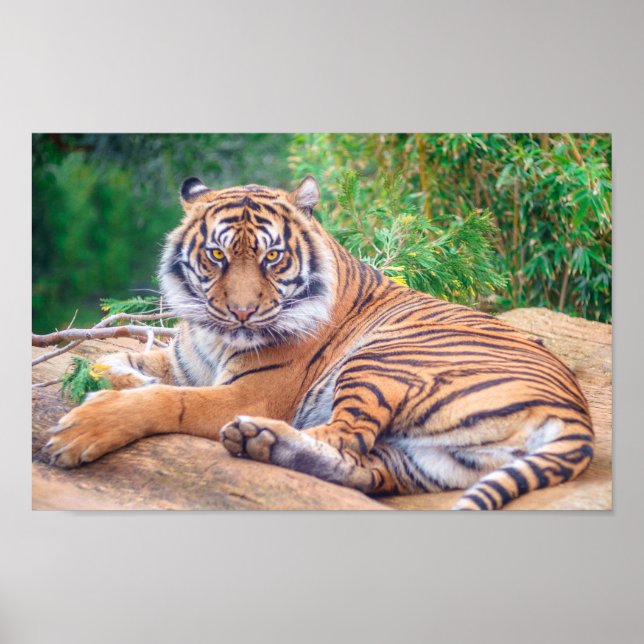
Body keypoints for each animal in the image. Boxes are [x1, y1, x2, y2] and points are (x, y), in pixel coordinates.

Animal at [43, 175, 594, 510]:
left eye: (272, 257)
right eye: (217, 254)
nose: (241, 312)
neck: (213, 335)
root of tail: (577, 415)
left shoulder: (252, 392)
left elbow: (168, 400)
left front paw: (83, 427)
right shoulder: (182, 362)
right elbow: (124, 359)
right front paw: (113, 375)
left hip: (382, 361)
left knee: (346, 434)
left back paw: (256, 435)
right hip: (431, 460)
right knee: (363, 468)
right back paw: (261, 443)